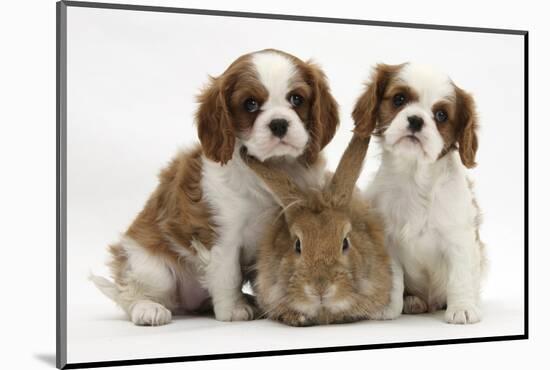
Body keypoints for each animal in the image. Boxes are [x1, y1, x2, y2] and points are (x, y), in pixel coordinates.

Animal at [91, 49, 340, 324]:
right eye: (250, 104)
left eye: (297, 99)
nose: (278, 124)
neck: (272, 167)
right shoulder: (221, 234)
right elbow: (227, 274)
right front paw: (234, 309)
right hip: (152, 268)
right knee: (130, 294)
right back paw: (148, 309)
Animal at [354, 63, 488, 324]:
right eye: (399, 99)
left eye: (441, 115)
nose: (416, 120)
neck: (414, 176)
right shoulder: (387, 242)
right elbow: (394, 279)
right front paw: (389, 308)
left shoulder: (459, 238)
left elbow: (459, 276)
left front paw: (463, 308)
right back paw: (413, 301)